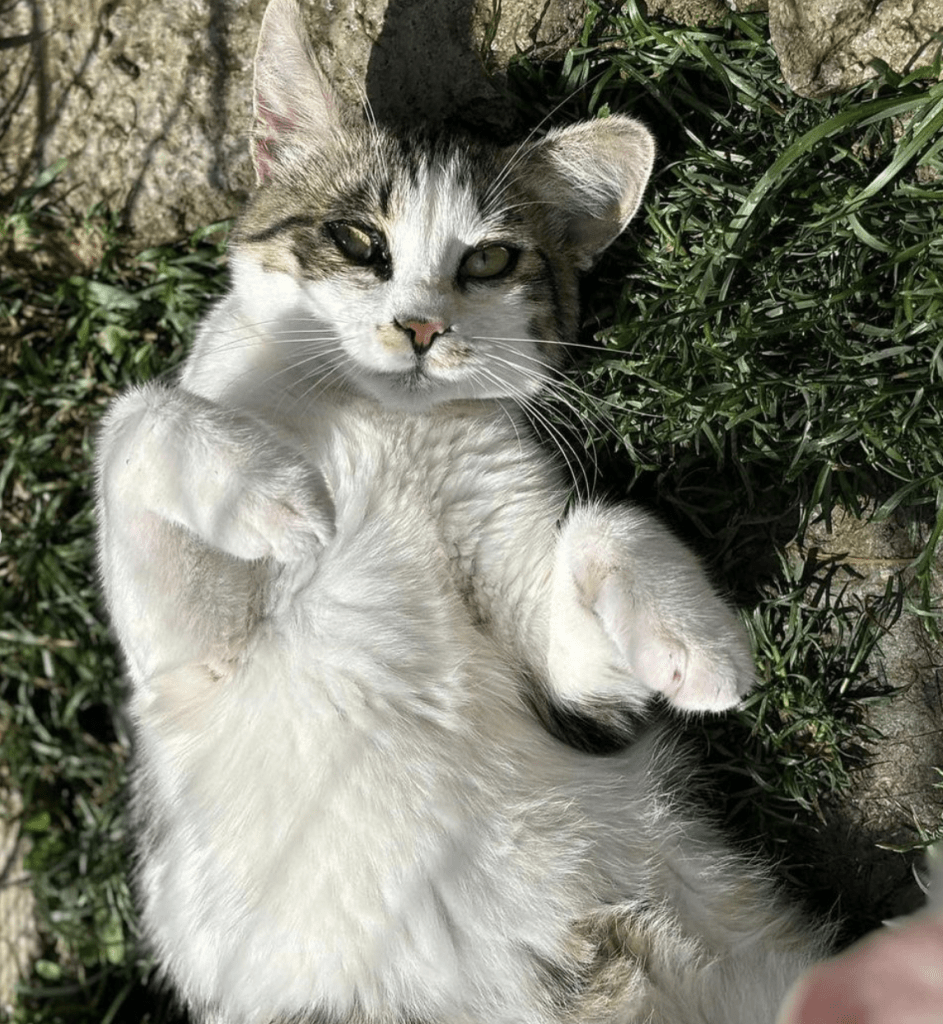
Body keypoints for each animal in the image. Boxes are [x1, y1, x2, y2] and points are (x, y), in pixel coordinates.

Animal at [97, 2, 831, 1024]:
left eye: (488, 260)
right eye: (357, 240)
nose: (421, 326)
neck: (388, 431)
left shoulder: (572, 691)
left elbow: (605, 529)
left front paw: (699, 645)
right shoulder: (190, 665)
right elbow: (134, 418)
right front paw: (270, 487)